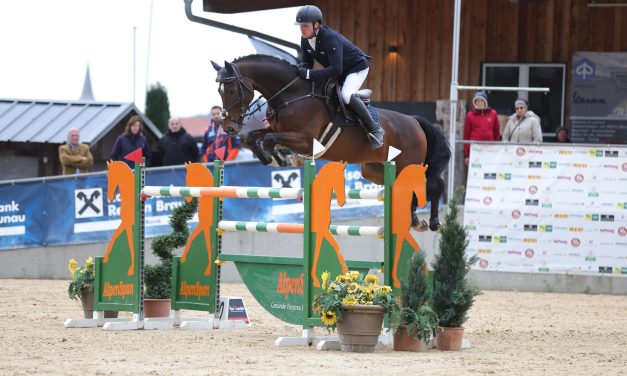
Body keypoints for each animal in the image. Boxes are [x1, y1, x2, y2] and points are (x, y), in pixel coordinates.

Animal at [212, 54, 452, 231]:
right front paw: (273, 158)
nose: (229, 127)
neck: (291, 95)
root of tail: (415, 121)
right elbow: (252, 137)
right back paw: (415, 220)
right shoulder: (277, 129)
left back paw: (431, 222)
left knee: (431, 184)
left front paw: (281, 159)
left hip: (409, 164)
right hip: (374, 169)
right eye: (219, 91)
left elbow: (271, 140)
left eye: (232, 90)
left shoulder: (306, 140)